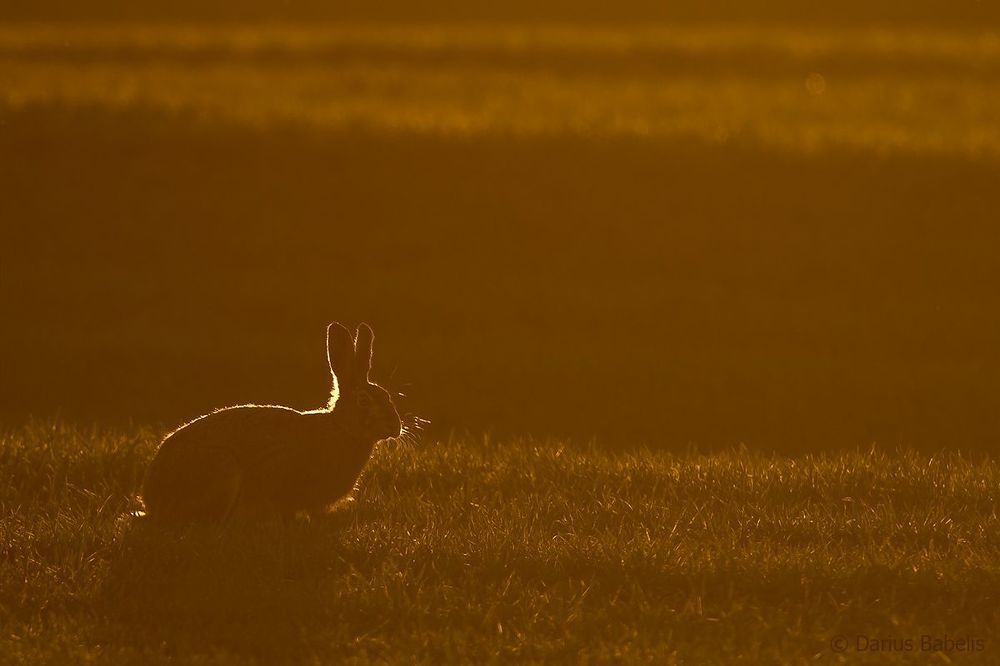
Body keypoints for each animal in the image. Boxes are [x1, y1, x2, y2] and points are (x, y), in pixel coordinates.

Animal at [141, 322, 401, 525]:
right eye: (363, 401)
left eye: (387, 396)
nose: (395, 427)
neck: (342, 429)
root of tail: (151, 498)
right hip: (222, 470)